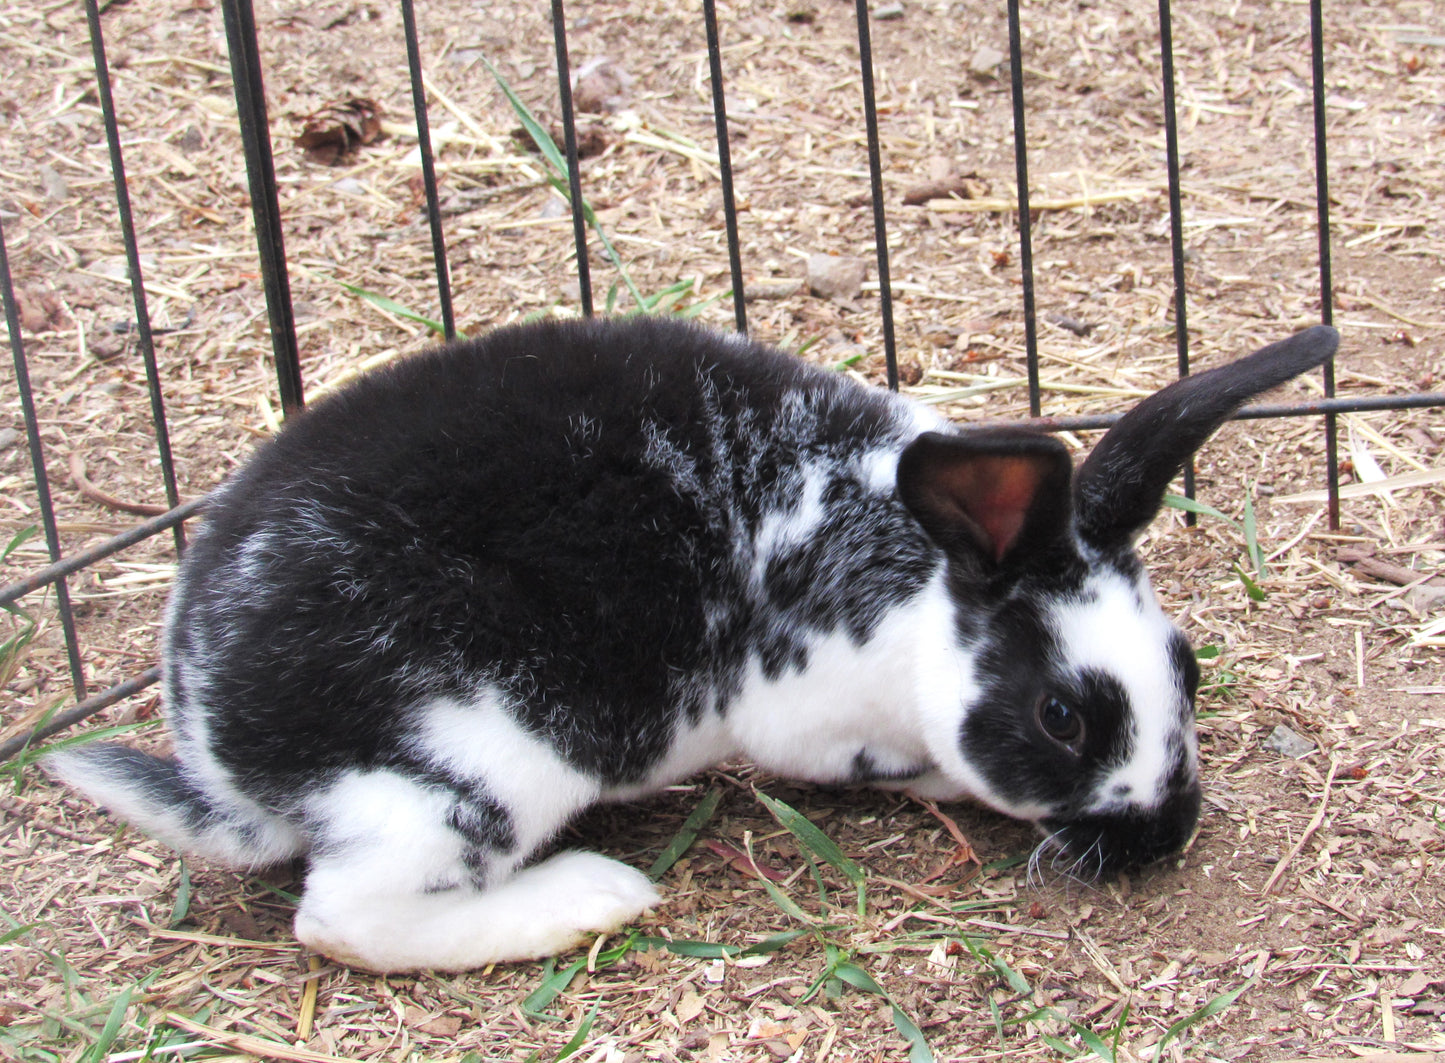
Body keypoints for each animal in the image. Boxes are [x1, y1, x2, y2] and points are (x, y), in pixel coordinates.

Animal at [48, 314, 1340, 970]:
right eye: (1062, 715)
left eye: (1187, 667)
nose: (1162, 835)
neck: (914, 570)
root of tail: (224, 759)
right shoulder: (813, 715)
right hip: (463, 768)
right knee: (349, 921)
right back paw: (593, 898)